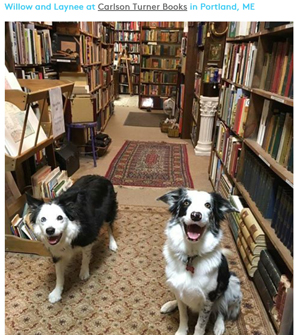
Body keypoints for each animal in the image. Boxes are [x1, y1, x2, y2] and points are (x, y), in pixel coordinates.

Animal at [25, 176, 118, 304]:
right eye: (43, 219)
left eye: (60, 217)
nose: (50, 230)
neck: (67, 235)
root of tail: (100, 177)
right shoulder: (56, 252)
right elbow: (59, 274)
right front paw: (57, 292)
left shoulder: (87, 239)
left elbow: (85, 257)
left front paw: (84, 272)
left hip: (109, 212)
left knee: (110, 227)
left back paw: (113, 244)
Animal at [158, 189, 243, 335]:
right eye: (186, 202)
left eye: (208, 205)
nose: (196, 215)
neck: (191, 256)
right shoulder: (180, 289)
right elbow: (183, 314)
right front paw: (181, 331)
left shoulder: (208, 299)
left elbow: (200, 324)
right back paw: (170, 304)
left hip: (233, 284)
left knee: (222, 309)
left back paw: (219, 326)